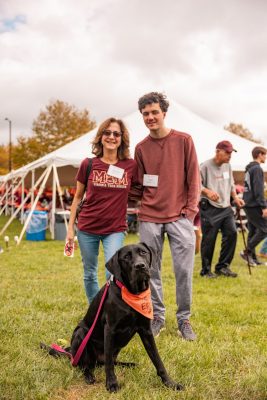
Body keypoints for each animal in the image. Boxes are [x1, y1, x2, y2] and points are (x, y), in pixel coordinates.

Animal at [43, 242, 184, 392]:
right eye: (126, 257)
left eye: (143, 252)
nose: (140, 266)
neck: (133, 293)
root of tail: (71, 353)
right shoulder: (110, 329)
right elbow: (109, 364)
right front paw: (111, 383)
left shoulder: (146, 330)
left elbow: (157, 360)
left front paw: (170, 383)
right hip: (80, 334)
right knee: (84, 365)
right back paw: (89, 375)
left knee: (108, 362)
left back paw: (129, 364)